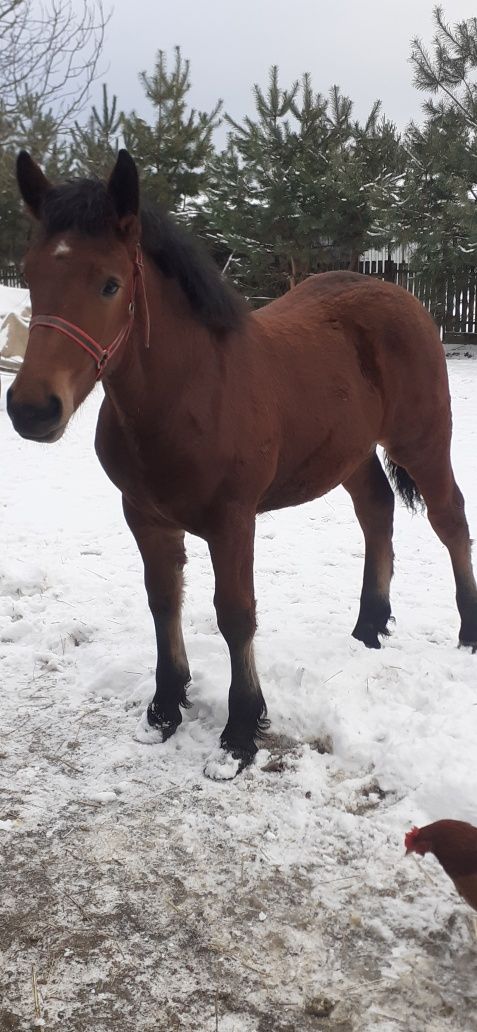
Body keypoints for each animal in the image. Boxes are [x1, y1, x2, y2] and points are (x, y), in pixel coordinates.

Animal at [7, 149, 476, 776]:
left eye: (110, 284)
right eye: (31, 277)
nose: (31, 409)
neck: (188, 392)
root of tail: (404, 299)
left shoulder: (233, 520)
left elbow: (235, 613)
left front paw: (240, 732)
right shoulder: (144, 516)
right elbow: (163, 600)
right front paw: (164, 709)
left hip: (421, 440)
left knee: (450, 518)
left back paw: (468, 630)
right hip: (349, 453)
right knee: (377, 511)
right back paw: (369, 627)